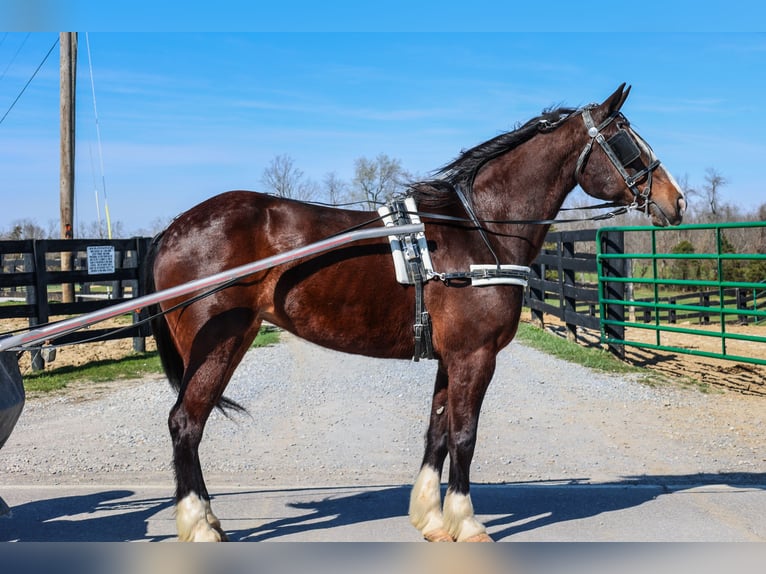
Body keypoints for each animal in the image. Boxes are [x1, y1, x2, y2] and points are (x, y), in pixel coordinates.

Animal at [146, 85, 688, 544]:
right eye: (625, 140)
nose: (676, 200)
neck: (476, 230)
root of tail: (174, 228)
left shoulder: (451, 357)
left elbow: (438, 431)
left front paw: (431, 518)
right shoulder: (475, 356)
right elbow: (464, 437)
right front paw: (467, 523)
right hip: (221, 345)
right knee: (185, 423)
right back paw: (200, 526)